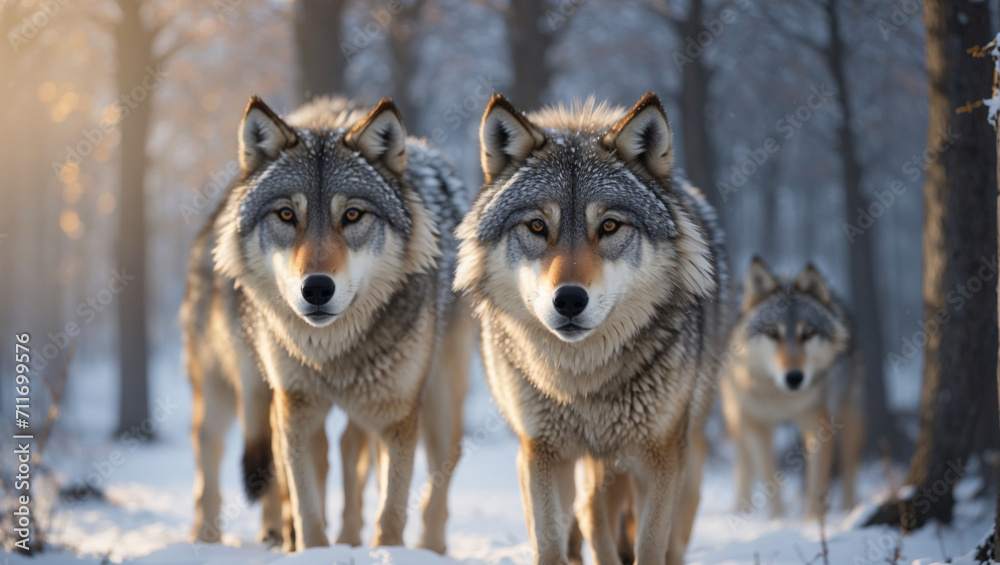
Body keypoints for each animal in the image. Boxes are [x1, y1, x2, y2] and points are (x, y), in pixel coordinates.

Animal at [184, 95, 471, 553]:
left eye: (352, 215)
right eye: (286, 215)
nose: (316, 289)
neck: (332, 354)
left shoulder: (396, 413)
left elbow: (392, 507)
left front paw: (387, 552)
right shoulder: (295, 408)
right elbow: (306, 505)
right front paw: (313, 550)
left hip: (440, 396)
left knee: (429, 459)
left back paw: (424, 548)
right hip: (223, 389)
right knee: (211, 449)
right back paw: (211, 540)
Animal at [454, 92, 728, 565]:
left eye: (609, 226)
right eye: (537, 226)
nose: (568, 299)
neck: (582, 381)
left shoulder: (659, 457)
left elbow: (651, 546)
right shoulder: (543, 452)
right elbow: (549, 544)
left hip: (681, 459)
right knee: (592, 522)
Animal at [719, 258, 864, 520]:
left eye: (807, 333)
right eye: (772, 333)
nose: (794, 377)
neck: (781, 399)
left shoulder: (818, 426)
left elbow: (817, 481)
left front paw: (811, 522)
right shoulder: (758, 427)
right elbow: (768, 478)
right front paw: (777, 520)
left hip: (850, 419)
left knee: (850, 466)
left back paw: (850, 511)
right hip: (736, 419)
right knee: (743, 463)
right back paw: (741, 511)